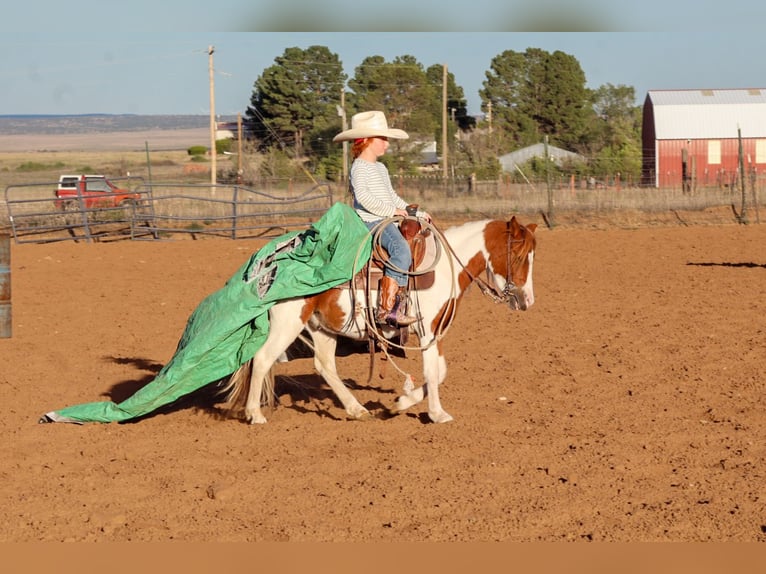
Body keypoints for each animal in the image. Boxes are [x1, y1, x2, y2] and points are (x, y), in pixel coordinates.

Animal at [221, 215, 537, 424]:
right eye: (519, 256)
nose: (527, 301)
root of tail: (270, 264)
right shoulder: (426, 333)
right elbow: (432, 372)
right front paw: (437, 414)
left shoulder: (435, 332)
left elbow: (440, 372)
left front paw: (401, 403)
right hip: (288, 322)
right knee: (263, 358)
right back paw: (254, 414)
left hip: (322, 326)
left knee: (325, 366)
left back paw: (356, 409)